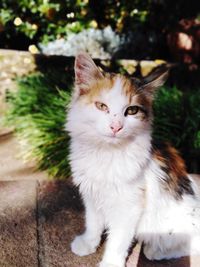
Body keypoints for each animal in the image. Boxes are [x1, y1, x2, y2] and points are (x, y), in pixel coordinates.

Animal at [66, 52, 200, 267]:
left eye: (131, 111)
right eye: (102, 106)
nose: (116, 127)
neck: (107, 152)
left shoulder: (129, 206)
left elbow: (118, 239)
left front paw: (111, 262)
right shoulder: (91, 194)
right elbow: (93, 223)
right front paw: (88, 243)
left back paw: (155, 251)